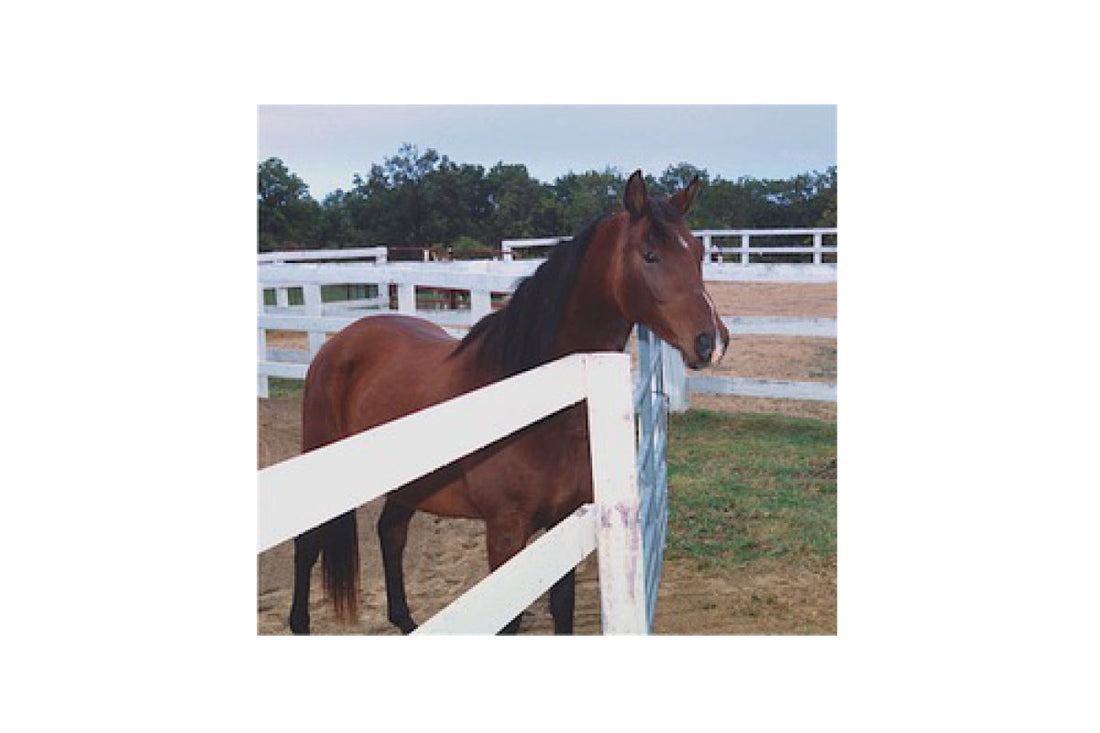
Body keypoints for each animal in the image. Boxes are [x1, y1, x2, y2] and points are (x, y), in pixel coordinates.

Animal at [289, 171, 731, 634]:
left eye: (698, 252)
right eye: (649, 254)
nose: (713, 341)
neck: (537, 405)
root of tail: (338, 343)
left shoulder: (562, 522)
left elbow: (562, 606)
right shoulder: (505, 533)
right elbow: (510, 621)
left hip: (409, 484)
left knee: (390, 533)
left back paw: (405, 620)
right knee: (308, 544)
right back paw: (300, 623)